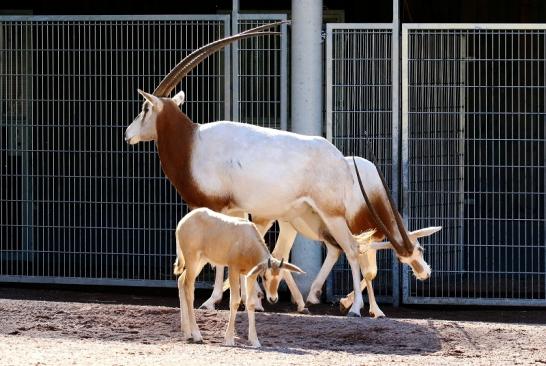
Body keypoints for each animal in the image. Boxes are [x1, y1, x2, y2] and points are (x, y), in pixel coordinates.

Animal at [173, 207, 304, 348]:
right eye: (265, 277)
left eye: (279, 278)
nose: (273, 299)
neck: (247, 239)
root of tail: (183, 222)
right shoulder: (233, 270)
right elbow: (235, 301)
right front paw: (229, 339)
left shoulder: (249, 275)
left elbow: (250, 303)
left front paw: (255, 341)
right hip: (192, 259)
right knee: (189, 288)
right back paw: (197, 336)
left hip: (201, 261)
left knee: (181, 281)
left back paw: (187, 333)